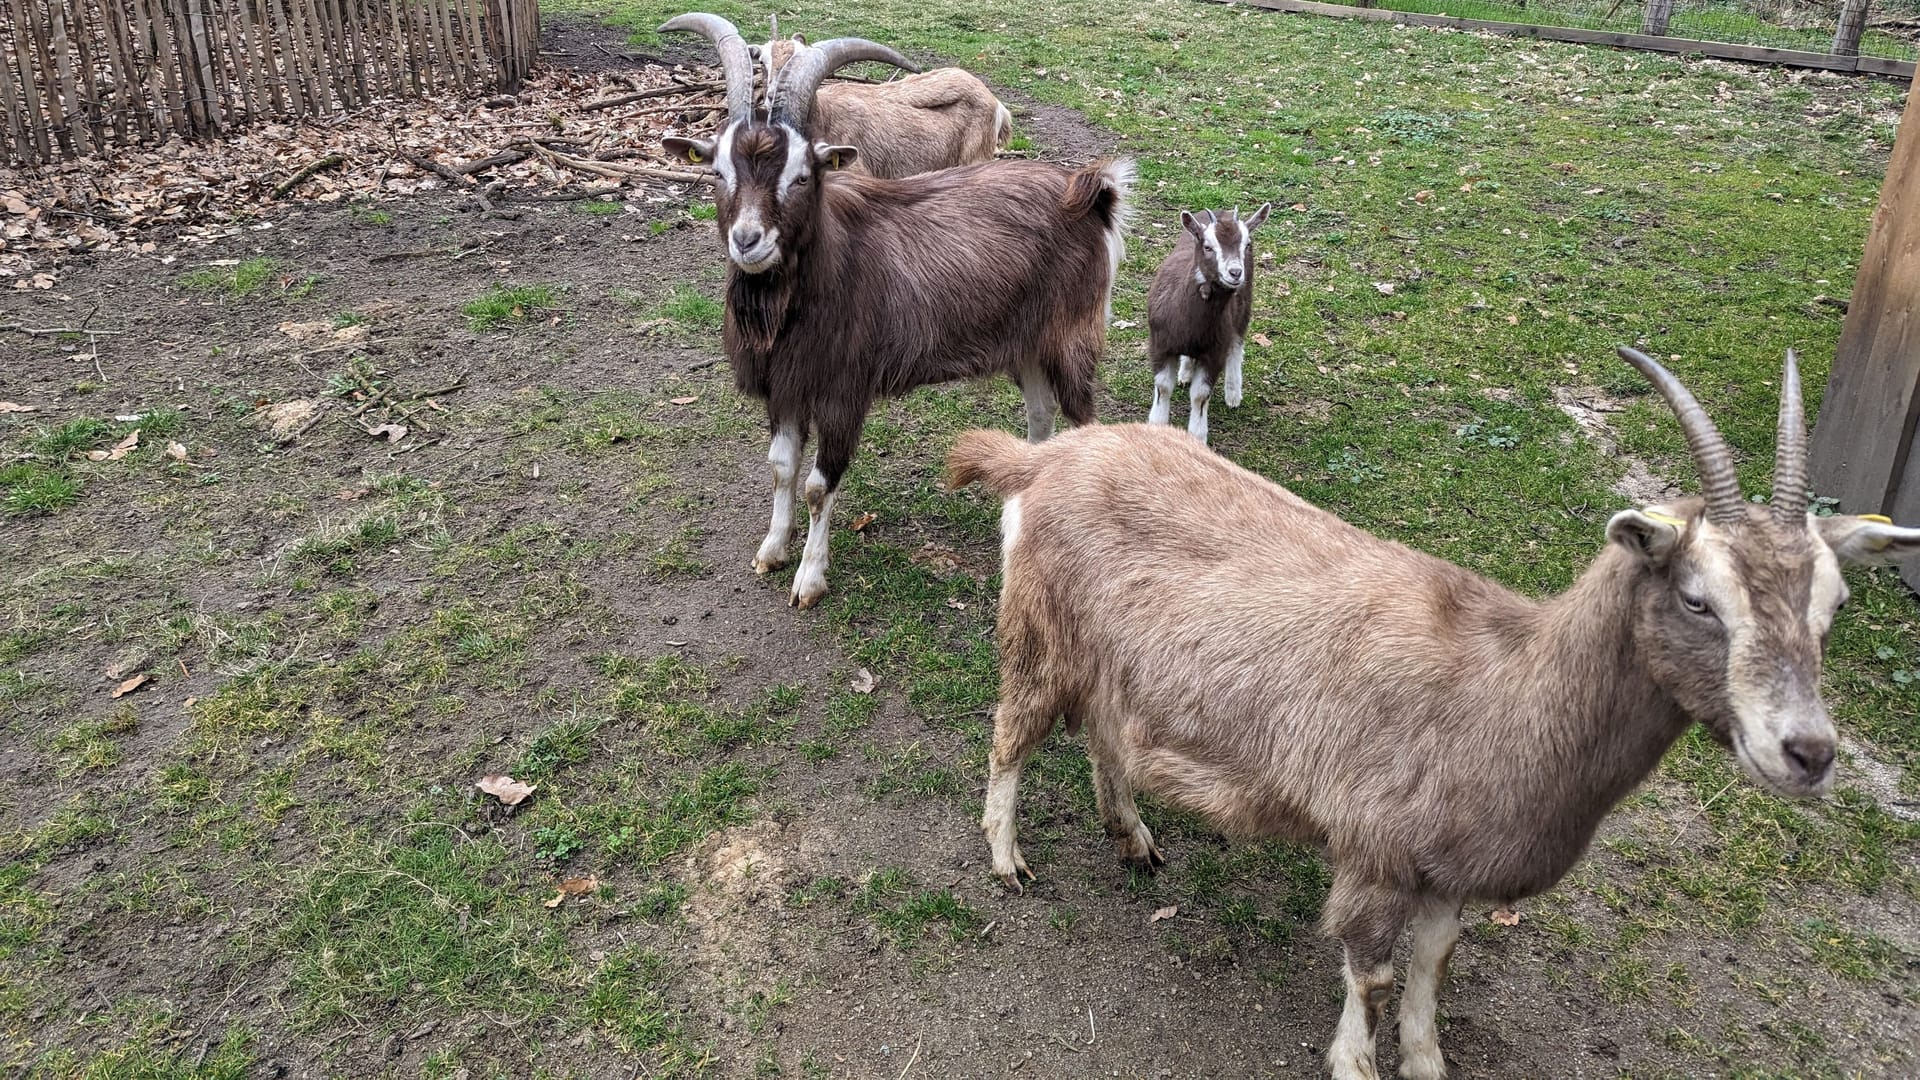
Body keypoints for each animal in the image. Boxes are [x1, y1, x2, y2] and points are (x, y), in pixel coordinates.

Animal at [948, 345, 1920, 1076]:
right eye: (1698, 598)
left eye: (1833, 604)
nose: (1808, 751)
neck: (1504, 692)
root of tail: (1042, 460)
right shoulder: (1375, 852)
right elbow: (1374, 977)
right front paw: (1356, 1064)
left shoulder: (1455, 867)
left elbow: (1432, 970)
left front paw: (1425, 1064)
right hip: (1039, 631)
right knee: (1012, 733)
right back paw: (1007, 859)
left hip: (1117, 664)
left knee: (1107, 736)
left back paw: (1135, 838)